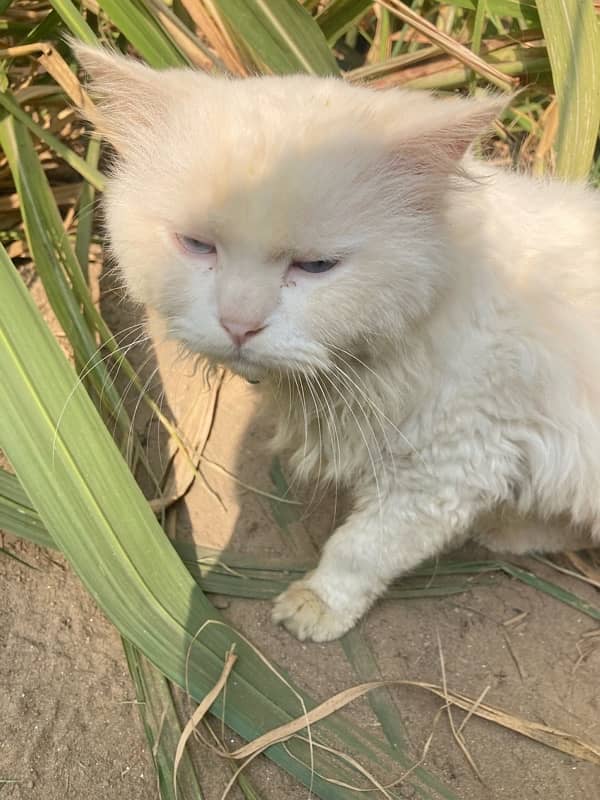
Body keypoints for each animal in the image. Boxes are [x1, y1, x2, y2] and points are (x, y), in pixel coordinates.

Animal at [74, 45, 600, 644]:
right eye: (197, 245)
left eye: (317, 266)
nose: (239, 324)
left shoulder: (445, 466)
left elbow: (362, 549)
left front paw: (317, 606)